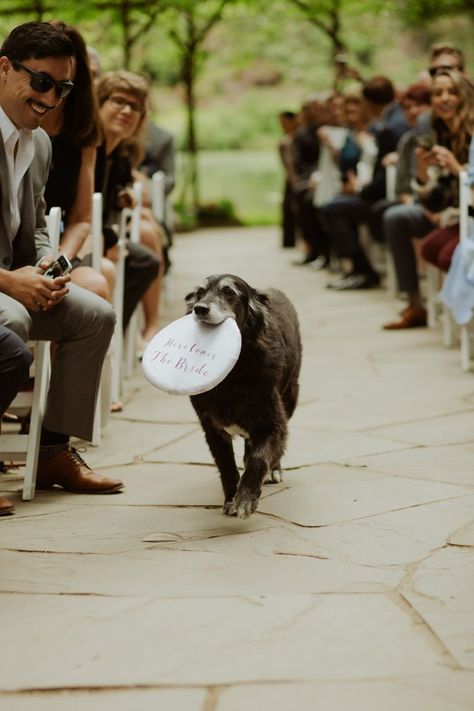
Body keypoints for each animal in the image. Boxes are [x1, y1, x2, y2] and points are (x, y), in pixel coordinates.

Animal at [183, 274, 302, 516]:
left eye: (229, 292)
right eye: (200, 293)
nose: (200, 309)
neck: (233, 373)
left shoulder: (272, 423)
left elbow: (259, 458)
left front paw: (246, 498)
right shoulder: (212, 428)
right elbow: (226, 465)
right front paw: (231, 497)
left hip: (290, 396)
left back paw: (275, 470)